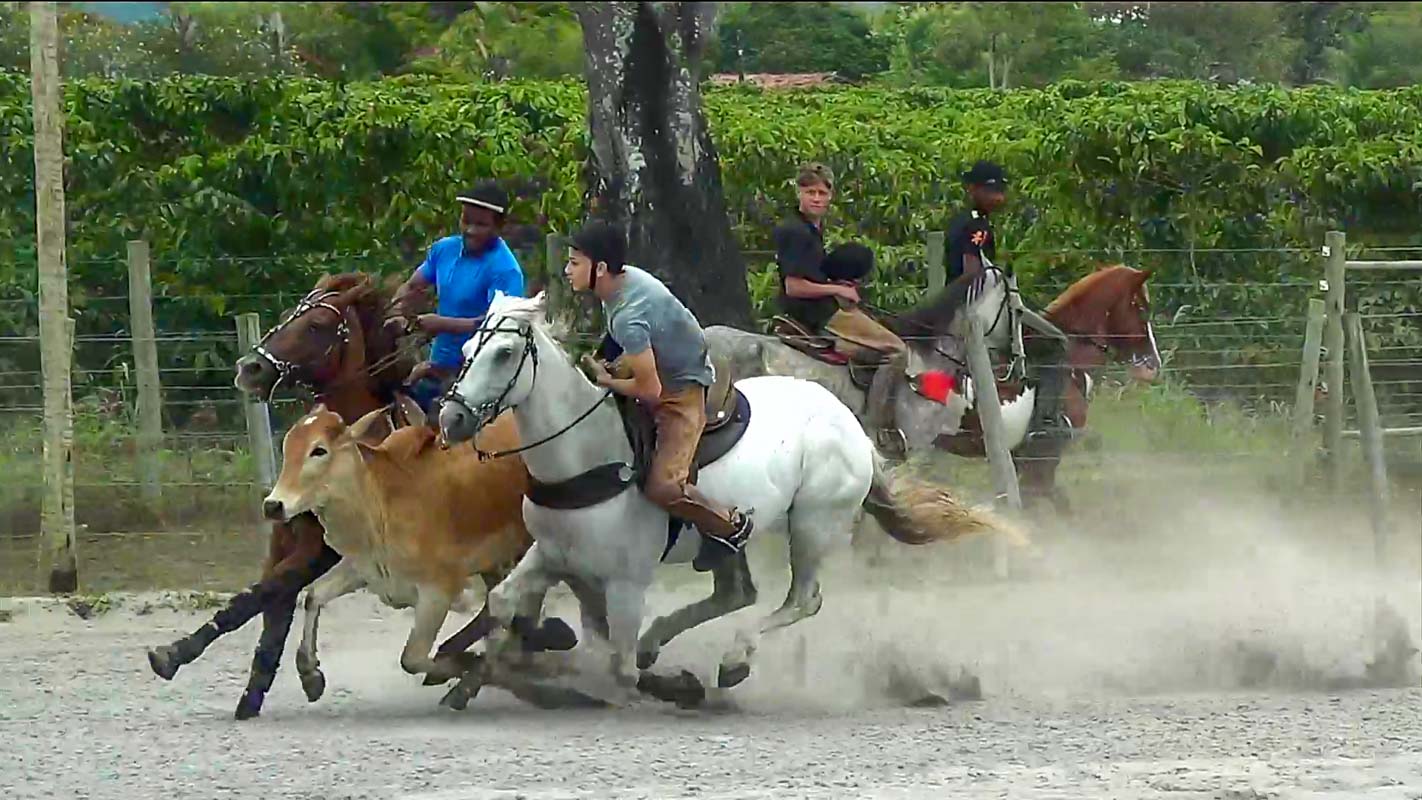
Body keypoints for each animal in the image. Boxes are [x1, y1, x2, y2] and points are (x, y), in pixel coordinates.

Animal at [141, 274, 568, 719]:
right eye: (290, 312)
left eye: (316, 325)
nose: (250, 368)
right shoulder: (289, 539)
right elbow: (267, 601)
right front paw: (253, 684)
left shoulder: (321, 551)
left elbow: (265, 594)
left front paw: (178, 654)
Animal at [435, 291, 1023, 704]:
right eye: (465, 350)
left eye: (504, 352)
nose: (452, 417)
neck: (586, 452)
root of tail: (851, 427)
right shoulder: (551, 555)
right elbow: (502, 603)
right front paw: (467, 680)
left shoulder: (627, 581)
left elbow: (618, 665)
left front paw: (677, 686)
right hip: (727, 539)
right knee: (736, 593)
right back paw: (664, 643)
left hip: (813, 525)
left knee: (799, 600)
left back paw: (734, 659)